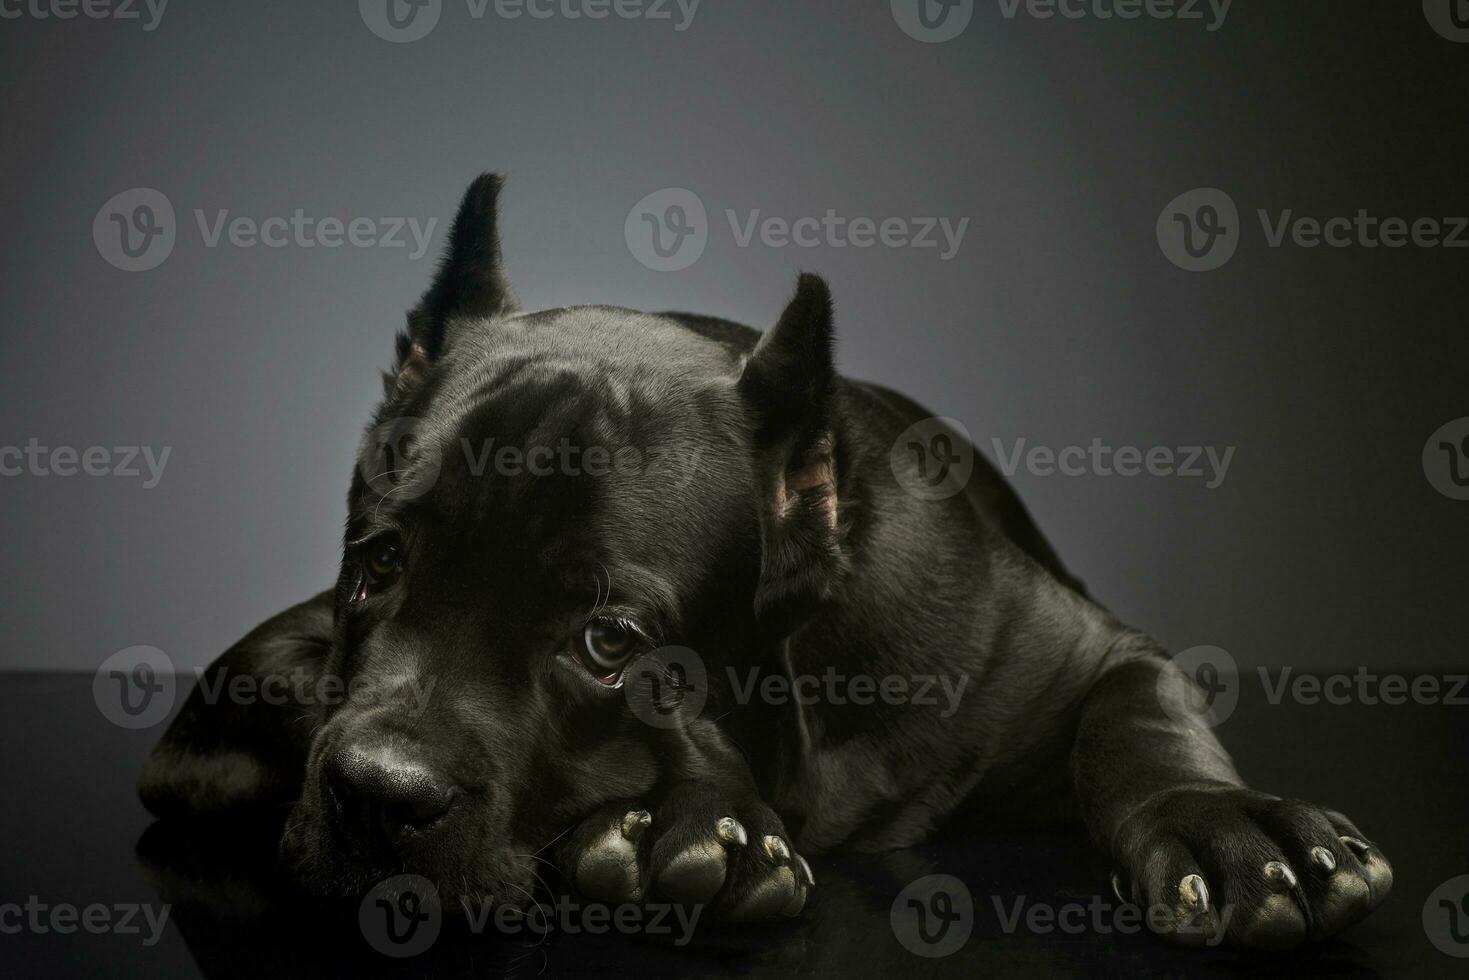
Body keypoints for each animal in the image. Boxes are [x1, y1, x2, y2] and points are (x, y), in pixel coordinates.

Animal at [143, 172, 1392, 946]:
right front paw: (709, 814)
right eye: (380, 562)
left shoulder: (1078, 648)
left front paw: (1225, 822)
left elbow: (1141, 713)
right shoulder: (243, 679)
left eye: (608, 641)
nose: (376, 792)